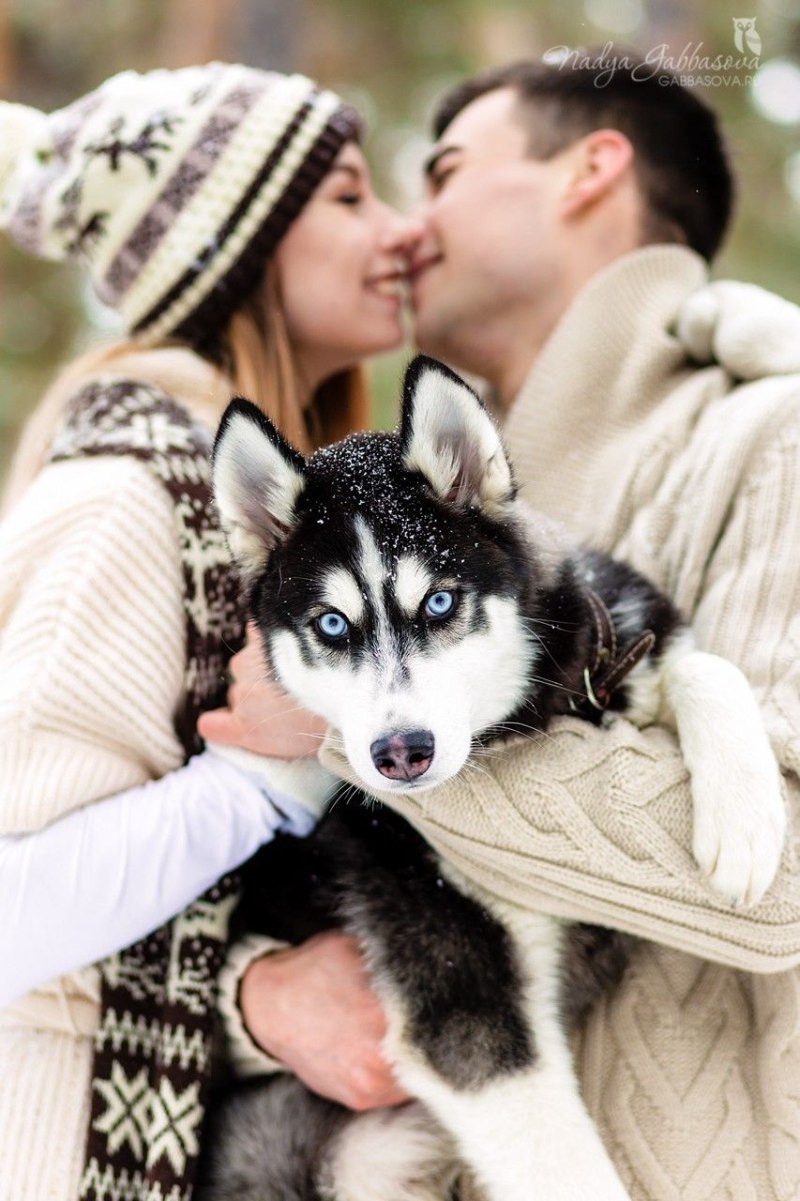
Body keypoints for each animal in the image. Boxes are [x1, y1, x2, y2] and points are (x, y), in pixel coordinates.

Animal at [195, 355, 783, 1201]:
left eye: (440, 602)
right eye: (331, 624)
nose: (400, 752)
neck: (532, 719)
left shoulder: (625, 646)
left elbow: (706, 665)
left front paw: (744, 822)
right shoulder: (467, 1008)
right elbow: (566, 1168)